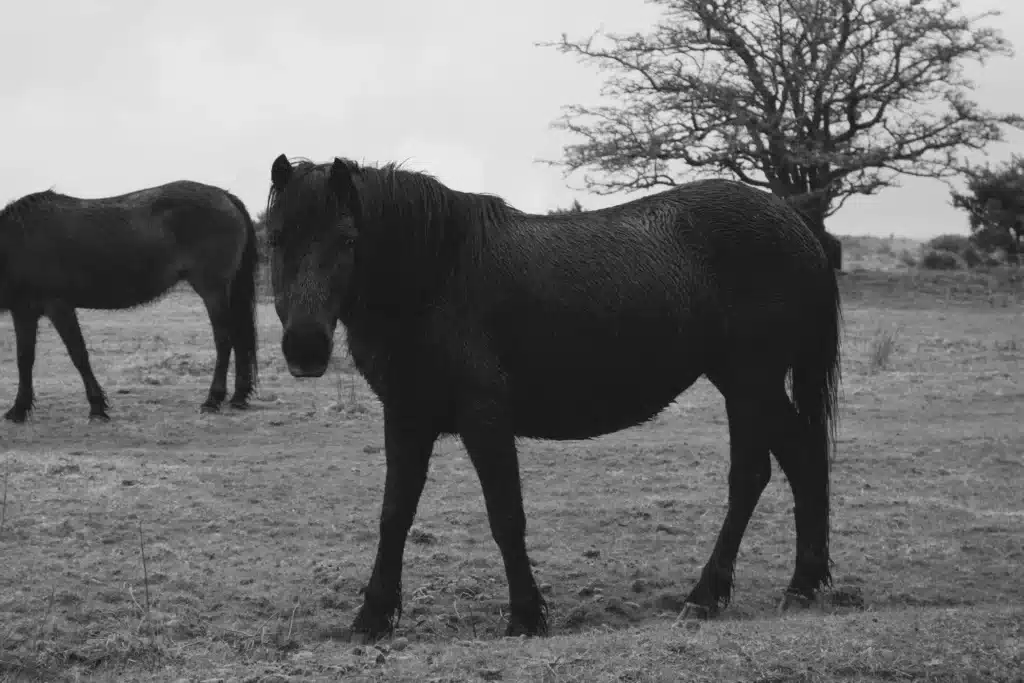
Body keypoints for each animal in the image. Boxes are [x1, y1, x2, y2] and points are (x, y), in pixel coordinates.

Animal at [0, 181, 260, 422]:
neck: (18, 240)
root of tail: (224, 195)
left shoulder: (59, 306)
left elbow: (79, 355)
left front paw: (97, 407)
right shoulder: (23, 310)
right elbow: (24, 358)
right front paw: (18, 410)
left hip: (213, 290)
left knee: (224, 340)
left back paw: (213, 400)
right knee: (239, 338)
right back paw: (238, 397)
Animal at [264, 153, 842, 640]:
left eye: (347, 240)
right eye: (275, 239)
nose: (305, 347)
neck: (438, 275)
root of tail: (794, 223)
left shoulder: (485, 418)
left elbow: (505, 517)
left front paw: (525, 616)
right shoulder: (406, 415)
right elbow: (394, 514)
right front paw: (373, 617)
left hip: (750, 382)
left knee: (764, 472)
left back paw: (725, 594)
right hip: (748, 385)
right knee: (791, 462)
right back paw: (782, 587)